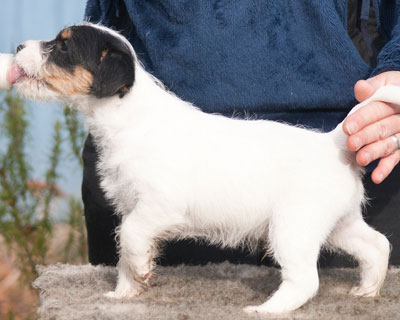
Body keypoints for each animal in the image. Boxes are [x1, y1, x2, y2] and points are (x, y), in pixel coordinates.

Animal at [10, 23, 396, 314]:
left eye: (62, 47)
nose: (17, 45)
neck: (130, 117)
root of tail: (332, 143)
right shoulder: (134, 207)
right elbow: (124, 250)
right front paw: (125, 292)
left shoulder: (156, 207)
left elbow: (131, 237)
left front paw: (140, 272)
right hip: (337, 224)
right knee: (377, 245)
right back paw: (368, 290)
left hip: (292, 228)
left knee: (306, 280)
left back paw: (265, 310)